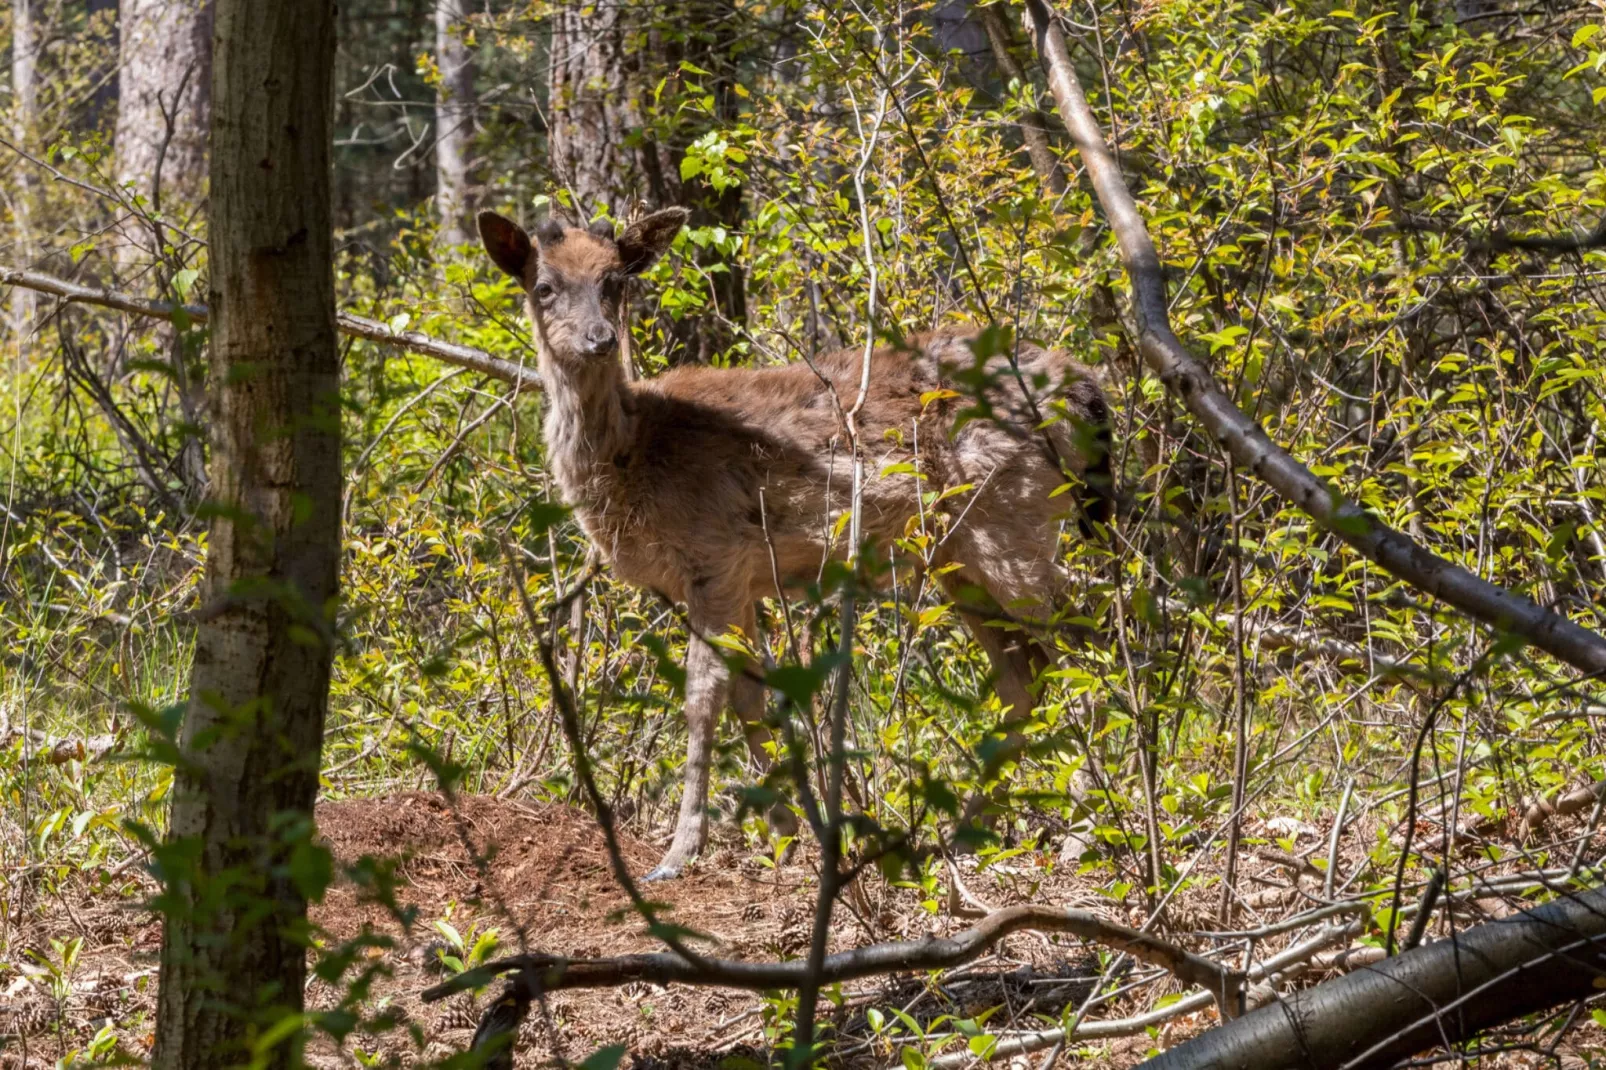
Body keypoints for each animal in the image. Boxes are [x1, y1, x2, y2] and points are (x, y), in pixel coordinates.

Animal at [475, 204, 1104, 880]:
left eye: (615, 281)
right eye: (544, 287)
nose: (599, 338)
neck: (637, 455)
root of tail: (1086, 388)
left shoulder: (716, 555)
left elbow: (703, 699)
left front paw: (681, 851)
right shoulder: (739, 579)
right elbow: (752, 699)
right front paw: (785, 833)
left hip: (1014, 518)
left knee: (1084, 650)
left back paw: (1083, 835)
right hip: (958, 556)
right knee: (1023, 680)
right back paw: (965, 835)